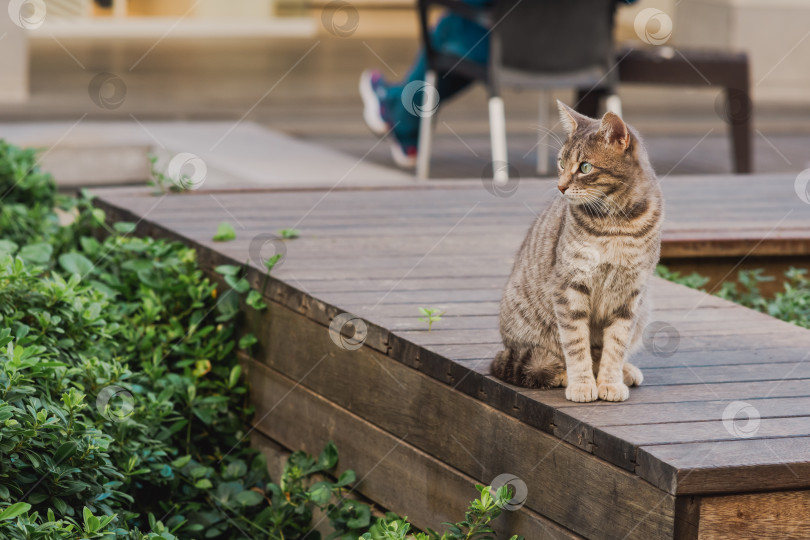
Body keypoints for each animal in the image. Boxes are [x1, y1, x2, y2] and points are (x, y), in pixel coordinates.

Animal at [490, 100, 660, 400]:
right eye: (561, 163)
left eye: (585, 167)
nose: (560, 186)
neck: (616, 224)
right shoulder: (570, 286)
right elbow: (576, 344)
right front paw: (582, 383)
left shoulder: (630, 294)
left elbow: (615, 345)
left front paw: (610, 381)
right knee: (541, 359)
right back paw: (562, 374)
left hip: (644, 310)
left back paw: (625, 372)